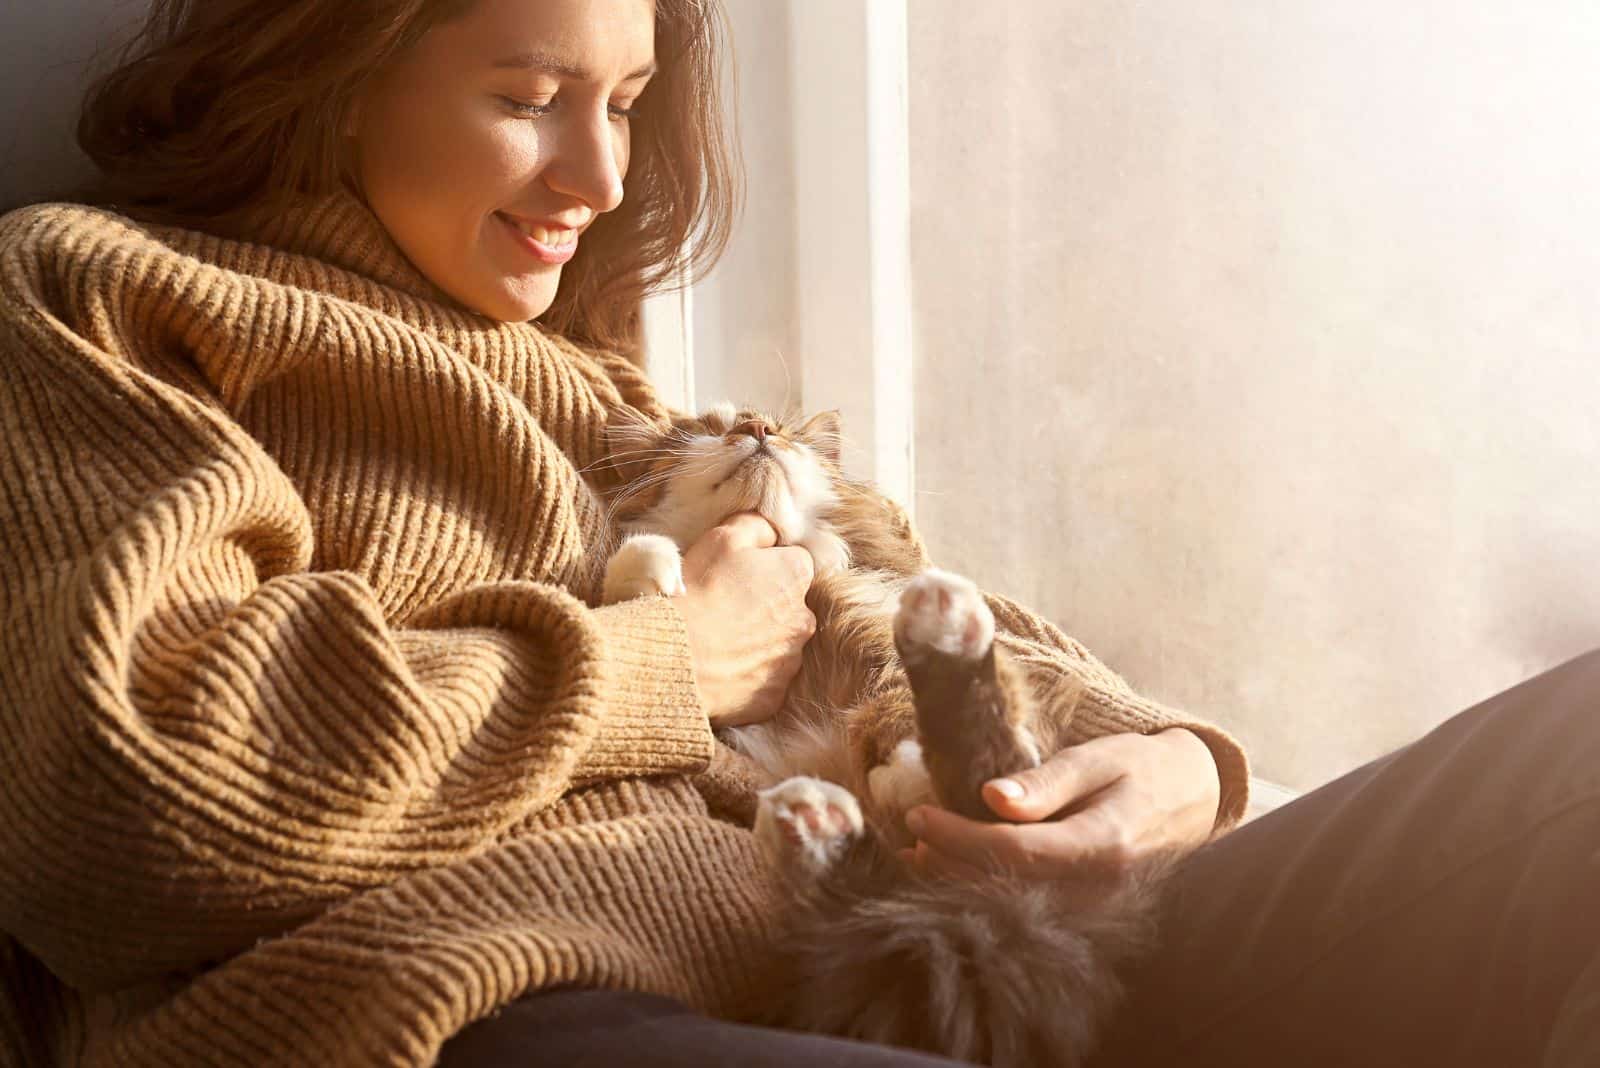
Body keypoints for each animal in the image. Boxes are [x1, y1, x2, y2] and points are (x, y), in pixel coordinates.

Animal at [595, 402, 1171, 1068]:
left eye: (782, 431)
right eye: (708, 428)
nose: (756, 428)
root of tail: (977, 894)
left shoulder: (874, 637)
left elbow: (892, 707)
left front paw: (901, 759)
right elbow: (629, 589)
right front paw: (658, 572)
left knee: (984, 776)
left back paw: (938, 651)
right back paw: (812, 822)